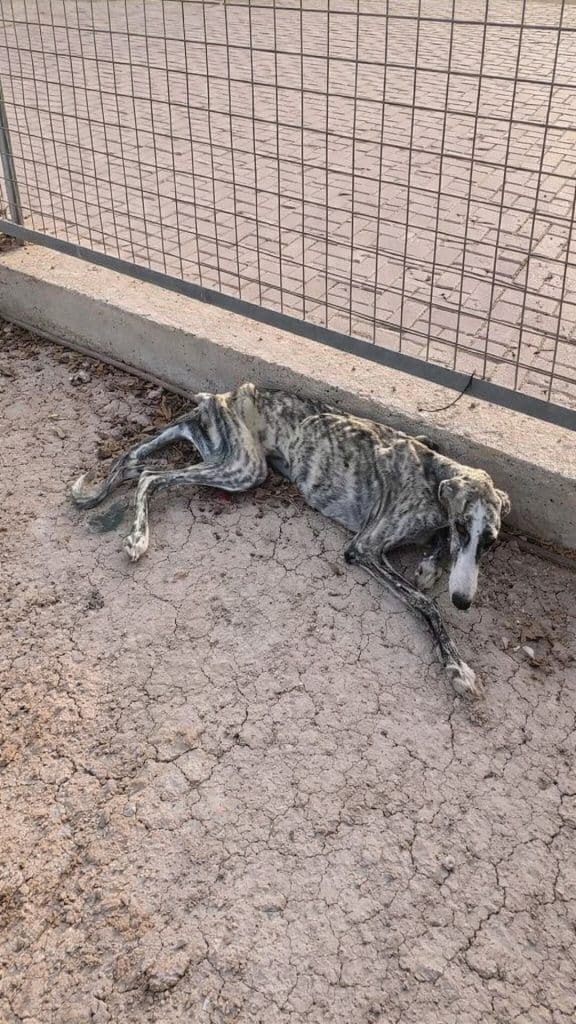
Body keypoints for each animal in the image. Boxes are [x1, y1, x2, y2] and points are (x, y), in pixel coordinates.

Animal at [72, 383, 511, 698]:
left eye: (488, 541)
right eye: (463, 527)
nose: (463, 601)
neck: (434, 475)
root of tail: (221, 397)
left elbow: (434, 558)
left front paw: (431, 564)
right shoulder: (364, 548)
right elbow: (426, 604)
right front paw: (458, 668)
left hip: (219, 455)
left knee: (138, 463)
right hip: (244, 468)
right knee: (151, 477)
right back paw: (137, 537)